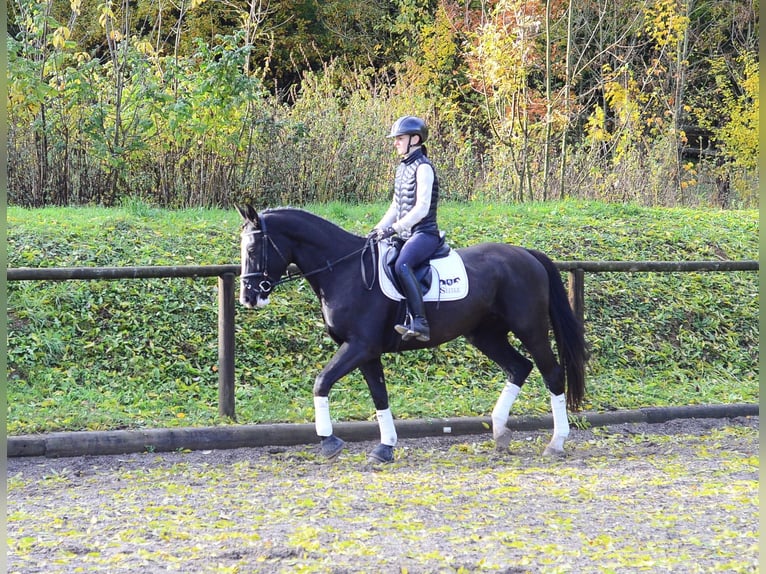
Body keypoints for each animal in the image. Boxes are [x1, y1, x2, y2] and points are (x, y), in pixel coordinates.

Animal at [237, 205, 587, 463]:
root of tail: (526, 254)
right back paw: (500, 433)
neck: (345, 272)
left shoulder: (359, 347)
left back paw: (556, 442)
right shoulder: (367, 352)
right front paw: (385, 447)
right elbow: (379, 395)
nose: (249, 297)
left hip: (530, 328)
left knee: (551, 373)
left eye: (253, 248)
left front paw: (329, 442)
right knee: (519, 367)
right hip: (484, 335)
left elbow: (321, 382)